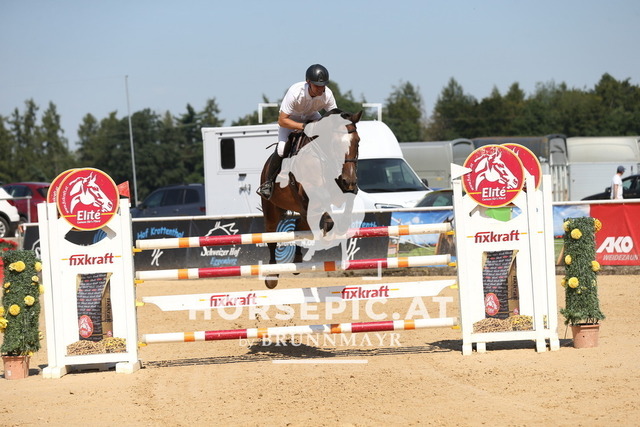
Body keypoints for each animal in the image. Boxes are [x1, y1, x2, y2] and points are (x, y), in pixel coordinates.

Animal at [259, 109, 363, 288]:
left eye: (357, 142)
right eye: (336, 144)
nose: (349, 181)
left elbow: (348, 200)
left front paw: (341, 225)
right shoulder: (308, 191)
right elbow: (324, 199)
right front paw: (329, 223)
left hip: (303, 211)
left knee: (299, 227)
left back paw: (298, 260)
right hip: (272, 209)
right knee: (271, 237)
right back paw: (272, 275)